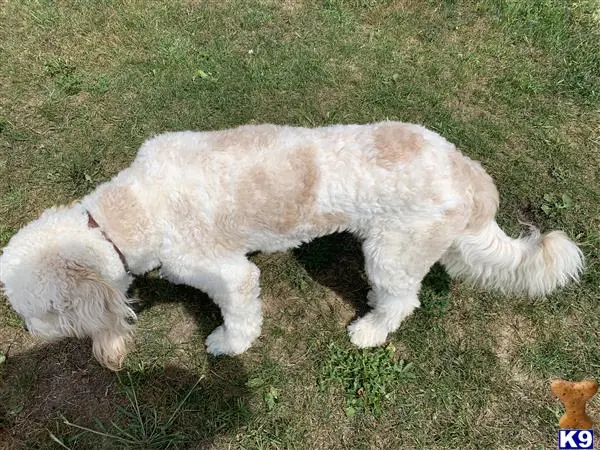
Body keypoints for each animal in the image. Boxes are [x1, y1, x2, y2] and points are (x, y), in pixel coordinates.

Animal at [0, 122, 584, 370]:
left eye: (44, 312)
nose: (31, 336)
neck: (134, 206)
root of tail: (467, 172)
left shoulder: (228, 273)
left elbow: (238, 313)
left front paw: (228, 345)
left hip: (393, 252)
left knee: (402, 300)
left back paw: (370, 329)